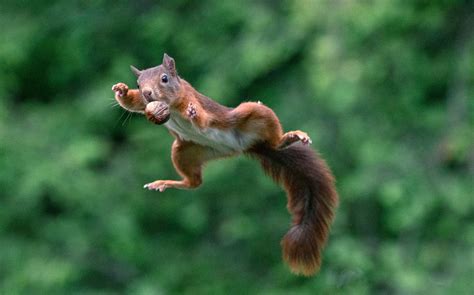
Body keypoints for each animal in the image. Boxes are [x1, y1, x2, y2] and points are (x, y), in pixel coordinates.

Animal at [113, 53, 338, 278]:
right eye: (138, 84)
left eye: (165, 78)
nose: (147, 93)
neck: (171, 105)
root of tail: (245, 146)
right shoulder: (143, 103)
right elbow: (132, 103)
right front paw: (121, 90)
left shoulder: (190, 97)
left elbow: (202, 119)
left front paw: (194, 113)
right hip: (185, 151)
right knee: (194, 182)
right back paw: (164, 183)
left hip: (253, 114)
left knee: (274, 140)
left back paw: (290, 137)